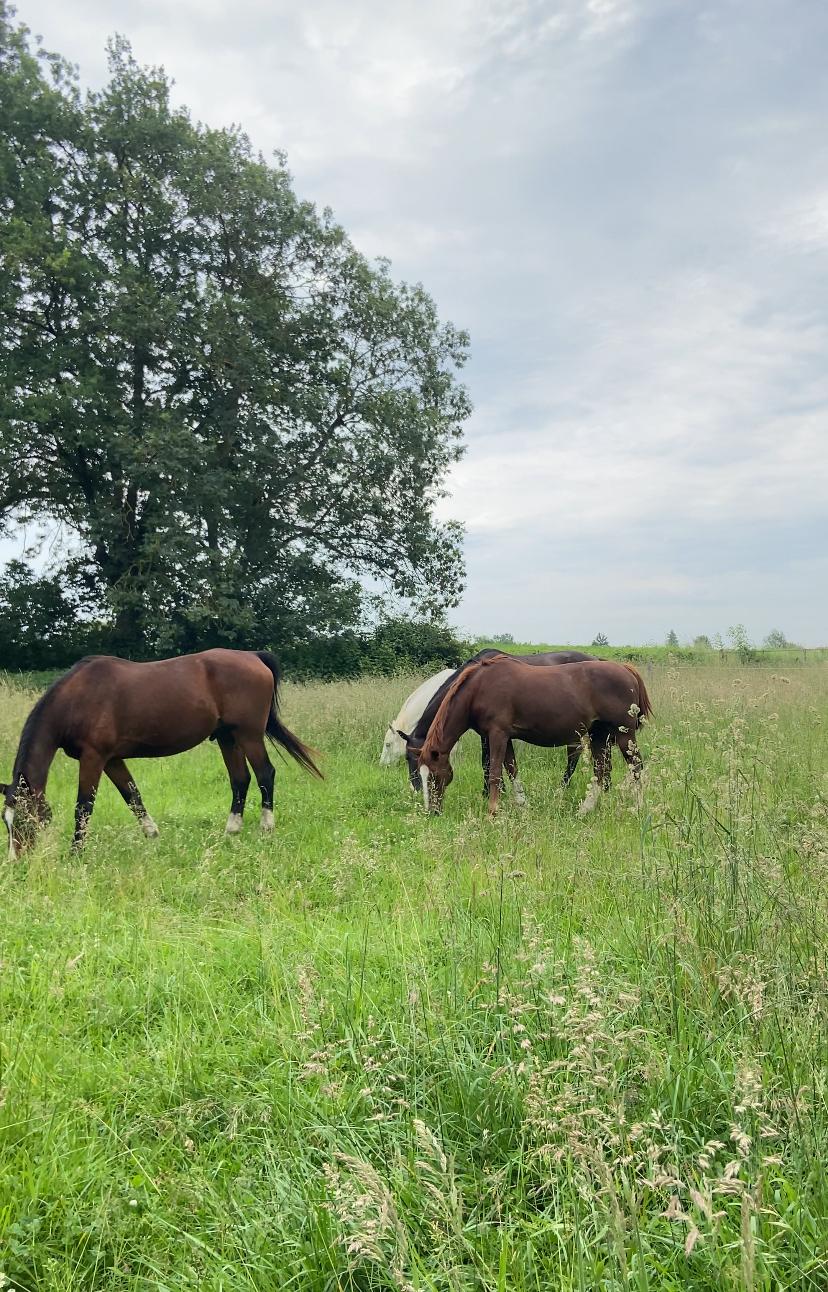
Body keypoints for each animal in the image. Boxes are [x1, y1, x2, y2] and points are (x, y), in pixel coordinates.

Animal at [1, 649, 321, 857]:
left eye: (24, 820)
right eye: (6, 822)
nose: (16, 862)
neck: (78, 698)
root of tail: (253, 657)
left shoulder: (93, 757)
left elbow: (83, 806)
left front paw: (76, 853)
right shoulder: (112, 759)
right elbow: (133, 796)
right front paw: (152, 835)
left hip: (249, 735)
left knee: (265, 774)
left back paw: (266, 828)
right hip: (227, 737)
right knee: (240, 779)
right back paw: (231, 831)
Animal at [396, 649, 595, 803]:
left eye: (409, 757)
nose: (415, 789)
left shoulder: (491, 734)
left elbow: (487, 762)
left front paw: (490, 792)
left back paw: (562, 789)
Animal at [417, 654, 652, 816]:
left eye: (434, 777)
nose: (432, 812)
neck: (479, 688)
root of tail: (626, 669)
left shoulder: (497, 735)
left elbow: (494, 773)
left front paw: (492, 812)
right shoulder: (505, 737)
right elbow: (512, 769)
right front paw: (523, 805)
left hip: (624, 734)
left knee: (636, 766)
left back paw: (638, 808)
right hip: (599, 734)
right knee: (600, 770)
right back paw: (586, 809)